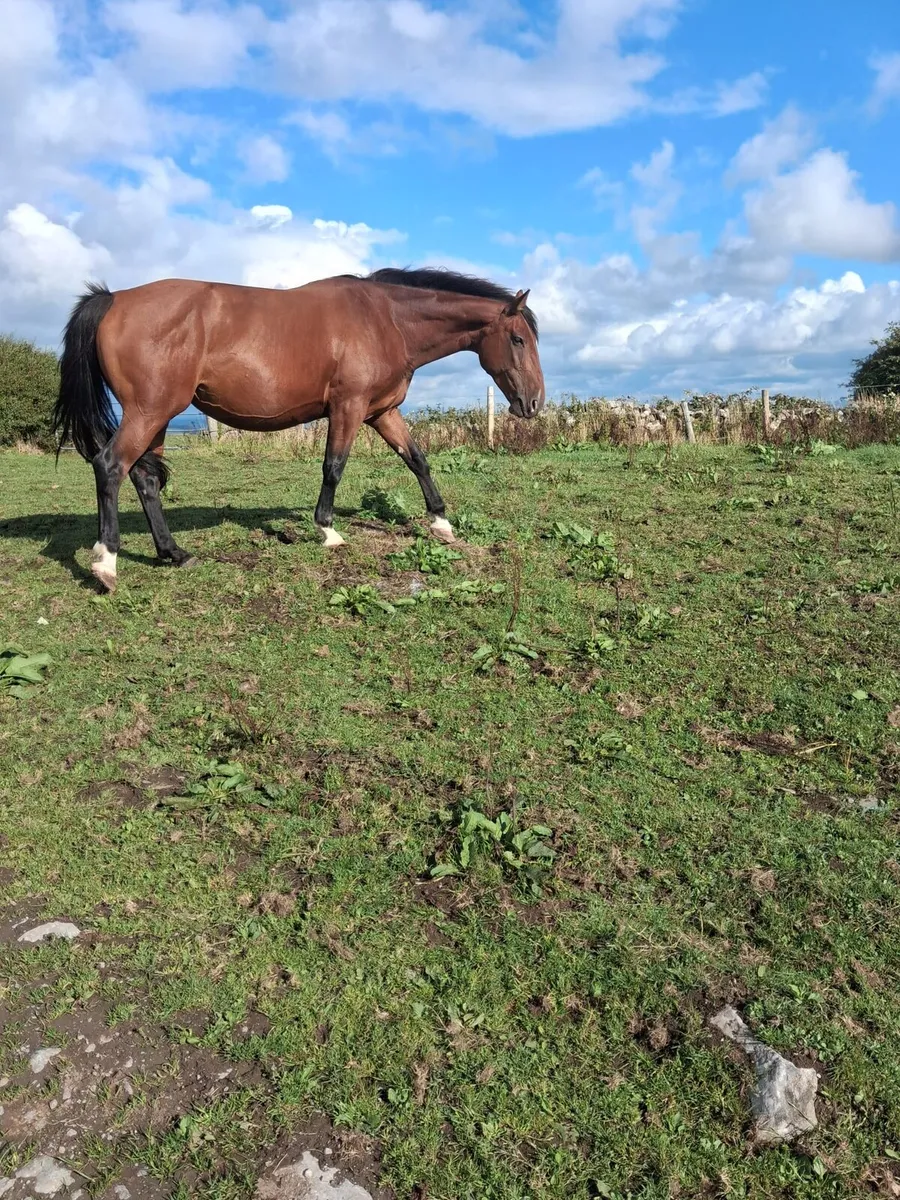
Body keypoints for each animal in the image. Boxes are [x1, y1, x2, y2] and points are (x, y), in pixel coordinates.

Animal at [53, 266, 545, 592]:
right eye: (519, 339)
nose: (535, 403)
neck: (386, 319)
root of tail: (114, 297)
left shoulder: (383, 412)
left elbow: (417, 460)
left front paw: (441, 522)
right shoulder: (348, 408)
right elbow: (334, 466)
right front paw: (328, 531)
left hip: (157, 416)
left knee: (146, 478)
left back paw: (174, 553)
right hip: (148, 411)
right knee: (111, 466)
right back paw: (106, 564)